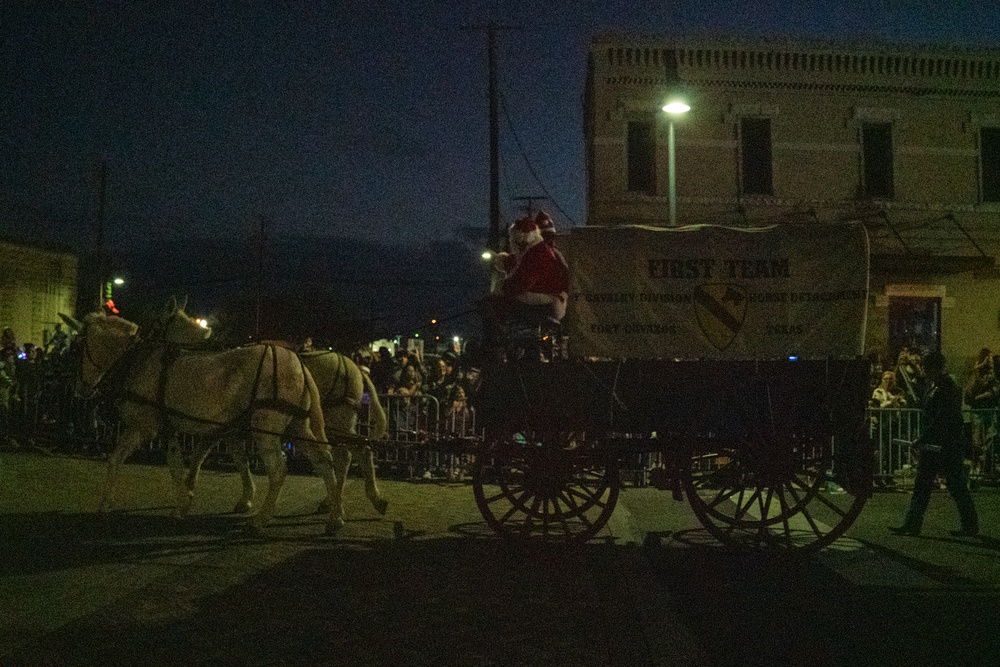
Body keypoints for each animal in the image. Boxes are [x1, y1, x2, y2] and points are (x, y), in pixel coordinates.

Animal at [72, 310, 342, 536]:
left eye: (79, 347)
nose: (82, 389)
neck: (138, 360)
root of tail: (298, 364)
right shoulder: (170, 428)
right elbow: (175, 464)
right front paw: (182, 502)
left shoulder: (143, 427)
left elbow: (116, 458)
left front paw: (106, 503)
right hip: (297, 425)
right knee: (324, 461)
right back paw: (334, 517)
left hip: (266, 429)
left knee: (278, 470)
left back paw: (261, 519)